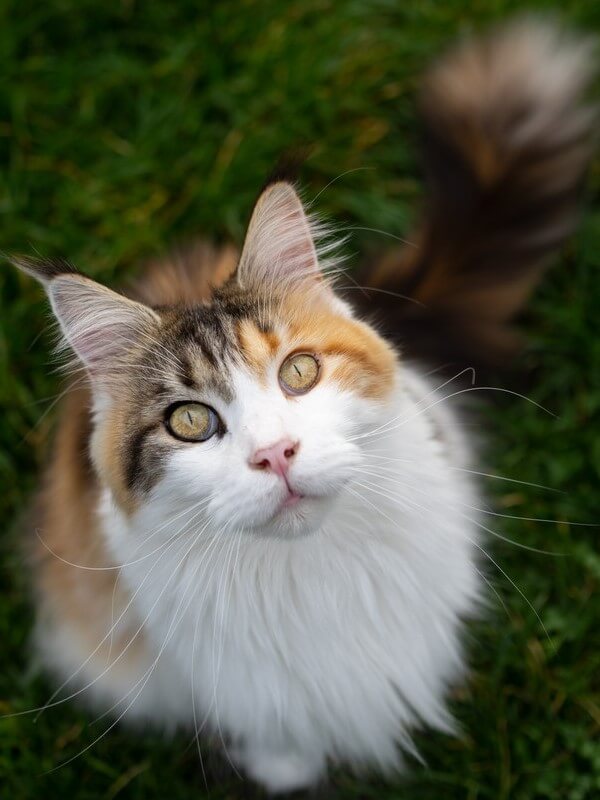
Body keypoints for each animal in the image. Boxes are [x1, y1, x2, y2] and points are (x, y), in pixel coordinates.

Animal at [11, 17, 592, 792]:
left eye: (299, 371)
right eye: (190, 421)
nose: (274, 454)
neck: (310, 576)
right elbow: (272, 728)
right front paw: (286, 770)